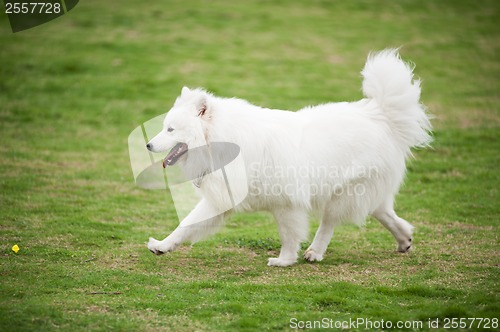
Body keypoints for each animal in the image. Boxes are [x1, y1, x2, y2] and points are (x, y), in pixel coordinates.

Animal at [145, 50, 430, 268]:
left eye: (170, 129)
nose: (148, 144)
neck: (225, 139)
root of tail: (378, 114)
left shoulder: (286, 204)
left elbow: (288, 236)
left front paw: (284, 261)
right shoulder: (222, 198)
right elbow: (186, 224)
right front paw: (162, 245)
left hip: (343, 193)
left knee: (329, 223)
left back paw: (315, 251)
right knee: (383, 211)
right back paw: (404, 239)